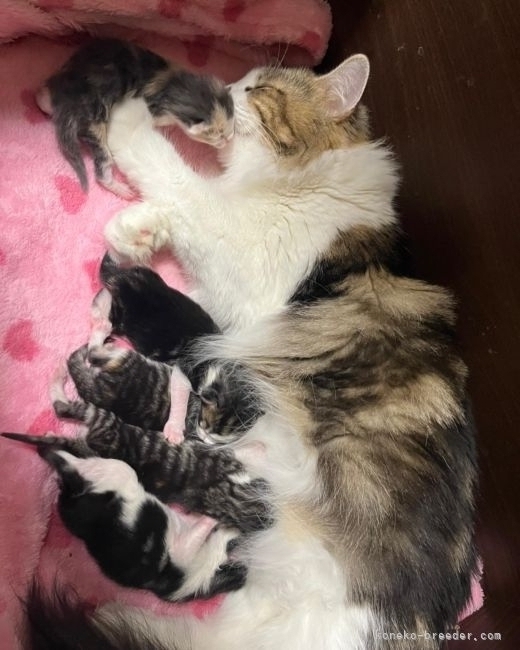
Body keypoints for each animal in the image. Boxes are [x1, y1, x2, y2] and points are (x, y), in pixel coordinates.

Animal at [28, 54, 477, 650]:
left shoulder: (239, 257)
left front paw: (127, 115)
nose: (226, 86)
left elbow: (175, 177)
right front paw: (139, 233)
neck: (311, 179)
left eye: (255, 89)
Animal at [37, 37, 234, 197]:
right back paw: (121, 189)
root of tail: (67, 98)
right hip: (95, 121)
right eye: (218, 134)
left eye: (231, 126)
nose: (229, 139)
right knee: (102, 166)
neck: (177, 85)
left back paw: (42, 98)